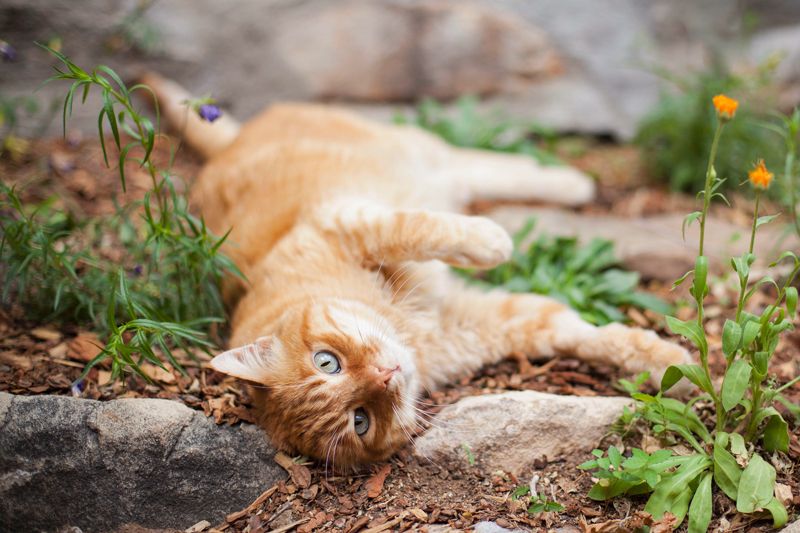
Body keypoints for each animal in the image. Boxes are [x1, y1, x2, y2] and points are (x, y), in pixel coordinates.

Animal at [142, 72, 688, 468]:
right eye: (360, 420)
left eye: (326, 361)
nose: (387, 374)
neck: (408, 327)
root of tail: (228, 147)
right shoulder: (499, 322)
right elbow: (586, 334)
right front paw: (671, 366)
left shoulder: (344, 222)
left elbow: (421, 227)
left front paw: (492, 241)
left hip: (412, 148)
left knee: (481, 165)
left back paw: (571, 183)